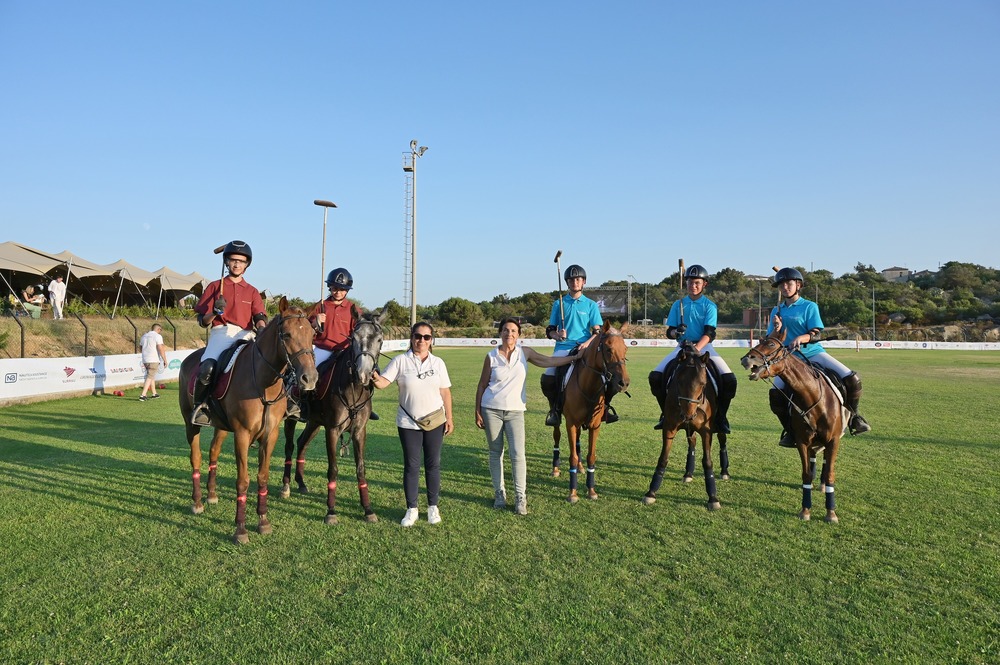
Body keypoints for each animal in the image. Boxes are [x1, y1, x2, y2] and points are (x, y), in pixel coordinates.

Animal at [179, 298, 316, 544]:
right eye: (287, 334)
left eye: (312, 334)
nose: (309, 379)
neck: (263, 382)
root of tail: (189, 358)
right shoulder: (242, 434)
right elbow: (243, 480)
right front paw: (240, 529)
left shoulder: (270, 435)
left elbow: (262, 477)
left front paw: (263, 521)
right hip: (190, 422)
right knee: (196, 457)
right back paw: (197, 502)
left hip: (222, 426)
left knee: (213, 452)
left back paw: (211, 494)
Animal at [284, 310, 388, 524]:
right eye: (353, 338)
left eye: (379, 339)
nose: (363, 375)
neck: (354, 389)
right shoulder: (332, 430)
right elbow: (333, 469)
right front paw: (331, 511)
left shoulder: (359, 431)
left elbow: (361, 468)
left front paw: (368, 509)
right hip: (291, 419)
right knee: (289, 446)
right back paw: (286, 486)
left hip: (314, 422)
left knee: (302, 443)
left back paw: (301, 482)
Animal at [552, 322, 628, 504]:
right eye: (608, 349)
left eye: (626, 349)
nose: (624, 383)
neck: (588, 387)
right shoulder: (570, 423)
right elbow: (572, 456)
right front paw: (572, 493)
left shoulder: (595, 425)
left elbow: (591, 456)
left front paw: (591, 490)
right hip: (557, 416)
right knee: (556, 434)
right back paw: (555, 468)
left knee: (578, 441)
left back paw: (580, 467)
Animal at [644, 342, 724, 508]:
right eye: (678, 381)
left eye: (703, 383)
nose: (688, 415)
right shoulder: (669, 428)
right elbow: (663, 458)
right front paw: (651, 492)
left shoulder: (706, 431)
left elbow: (707, 461)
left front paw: (713, 497)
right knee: (692, 442)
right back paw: (688, 473)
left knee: (722, 438)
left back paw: (725, 472)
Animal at [744, 330, 844, 520]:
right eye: (760, 340)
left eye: (771, 344)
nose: (746, 359)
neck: (813, 397)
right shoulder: (802, 441)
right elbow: (806, 474)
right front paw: (805, 510)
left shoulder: (833, 440)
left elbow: (830, 474)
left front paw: (831, 512)